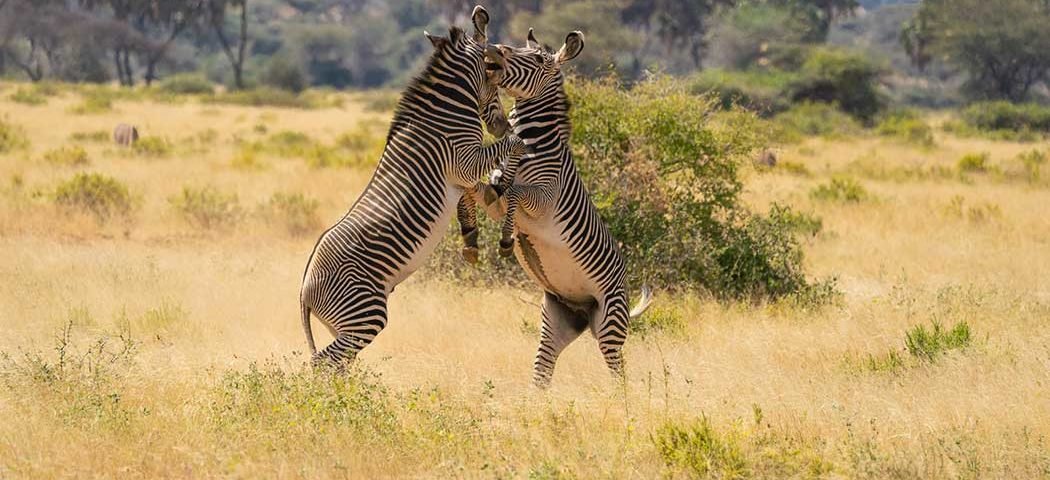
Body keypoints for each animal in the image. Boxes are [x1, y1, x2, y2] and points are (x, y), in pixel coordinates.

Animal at [299, 6, 526, 365]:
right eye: (494, 74)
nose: (501, 125)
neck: (447, 114)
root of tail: (304, 292)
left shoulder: (460, 176)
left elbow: (471, 196)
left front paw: (473, 230)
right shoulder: (464, 160)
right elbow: (515, 145)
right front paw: (503, 179)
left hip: (346, 326)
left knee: (338, 364)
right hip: (365, 313)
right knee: (321, 363)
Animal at [477, 29, 653, 387]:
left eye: (537, 58)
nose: (493, 49)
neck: (532, 147)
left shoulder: (544, 199)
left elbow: (515, 193)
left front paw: (507, 240)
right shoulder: (495, 194)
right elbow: (494, 188)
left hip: (609, 321)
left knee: (618, 370)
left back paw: (622, 400)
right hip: (558, 318)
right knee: (543, 369)